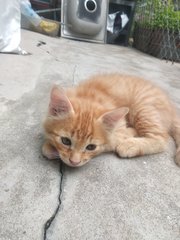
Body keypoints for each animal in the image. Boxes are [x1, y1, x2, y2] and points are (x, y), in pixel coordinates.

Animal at [42, 73, 180, 167]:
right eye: (65, 141)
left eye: (91, 147)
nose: (74, 162)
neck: (89, 97)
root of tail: (171, 106)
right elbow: (45, 150)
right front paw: (51, 148)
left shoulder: (120, 125)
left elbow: (113, 140)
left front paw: (130, 133)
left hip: (142, 107)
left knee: (161, 139)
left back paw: (130, 145)